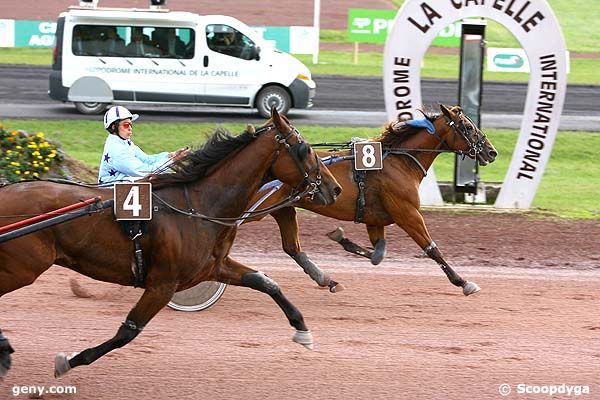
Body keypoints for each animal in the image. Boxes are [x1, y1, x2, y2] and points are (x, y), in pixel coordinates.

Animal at [0, 108, 340, 378]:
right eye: (304, 148)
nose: (334, 188)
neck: (200, 206)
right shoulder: (163, 284)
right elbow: (127, 331)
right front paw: (68, 361)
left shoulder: (212, 267)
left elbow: (266, 282)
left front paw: (303, 331)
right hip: (22, 268)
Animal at [244, 104, 496, 294]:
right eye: (467, 126)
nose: (492, 152)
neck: (399, 162)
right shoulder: (407, 213)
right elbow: (431, 248)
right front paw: (463, 282)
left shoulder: (375, 219)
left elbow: (378, 254)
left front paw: (341, 238)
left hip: (284, 209)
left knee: (292, 247)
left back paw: (328, 280)